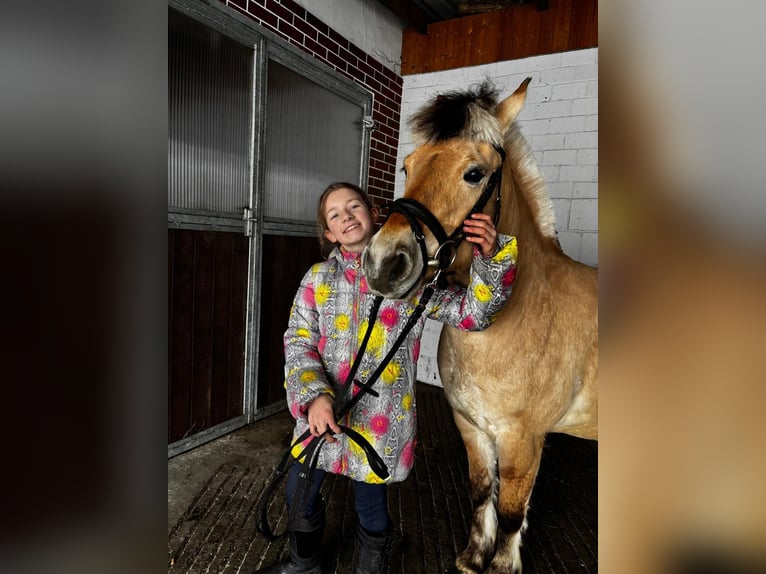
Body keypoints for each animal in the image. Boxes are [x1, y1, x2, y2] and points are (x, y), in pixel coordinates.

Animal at [361, 78, 598, 573]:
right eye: (407, 165)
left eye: (473, 174)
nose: (383, 263)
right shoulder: (471, 426)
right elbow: (480, 493)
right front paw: (472, 557)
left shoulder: (523, 441)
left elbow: (510, 511)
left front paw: (503, 564)